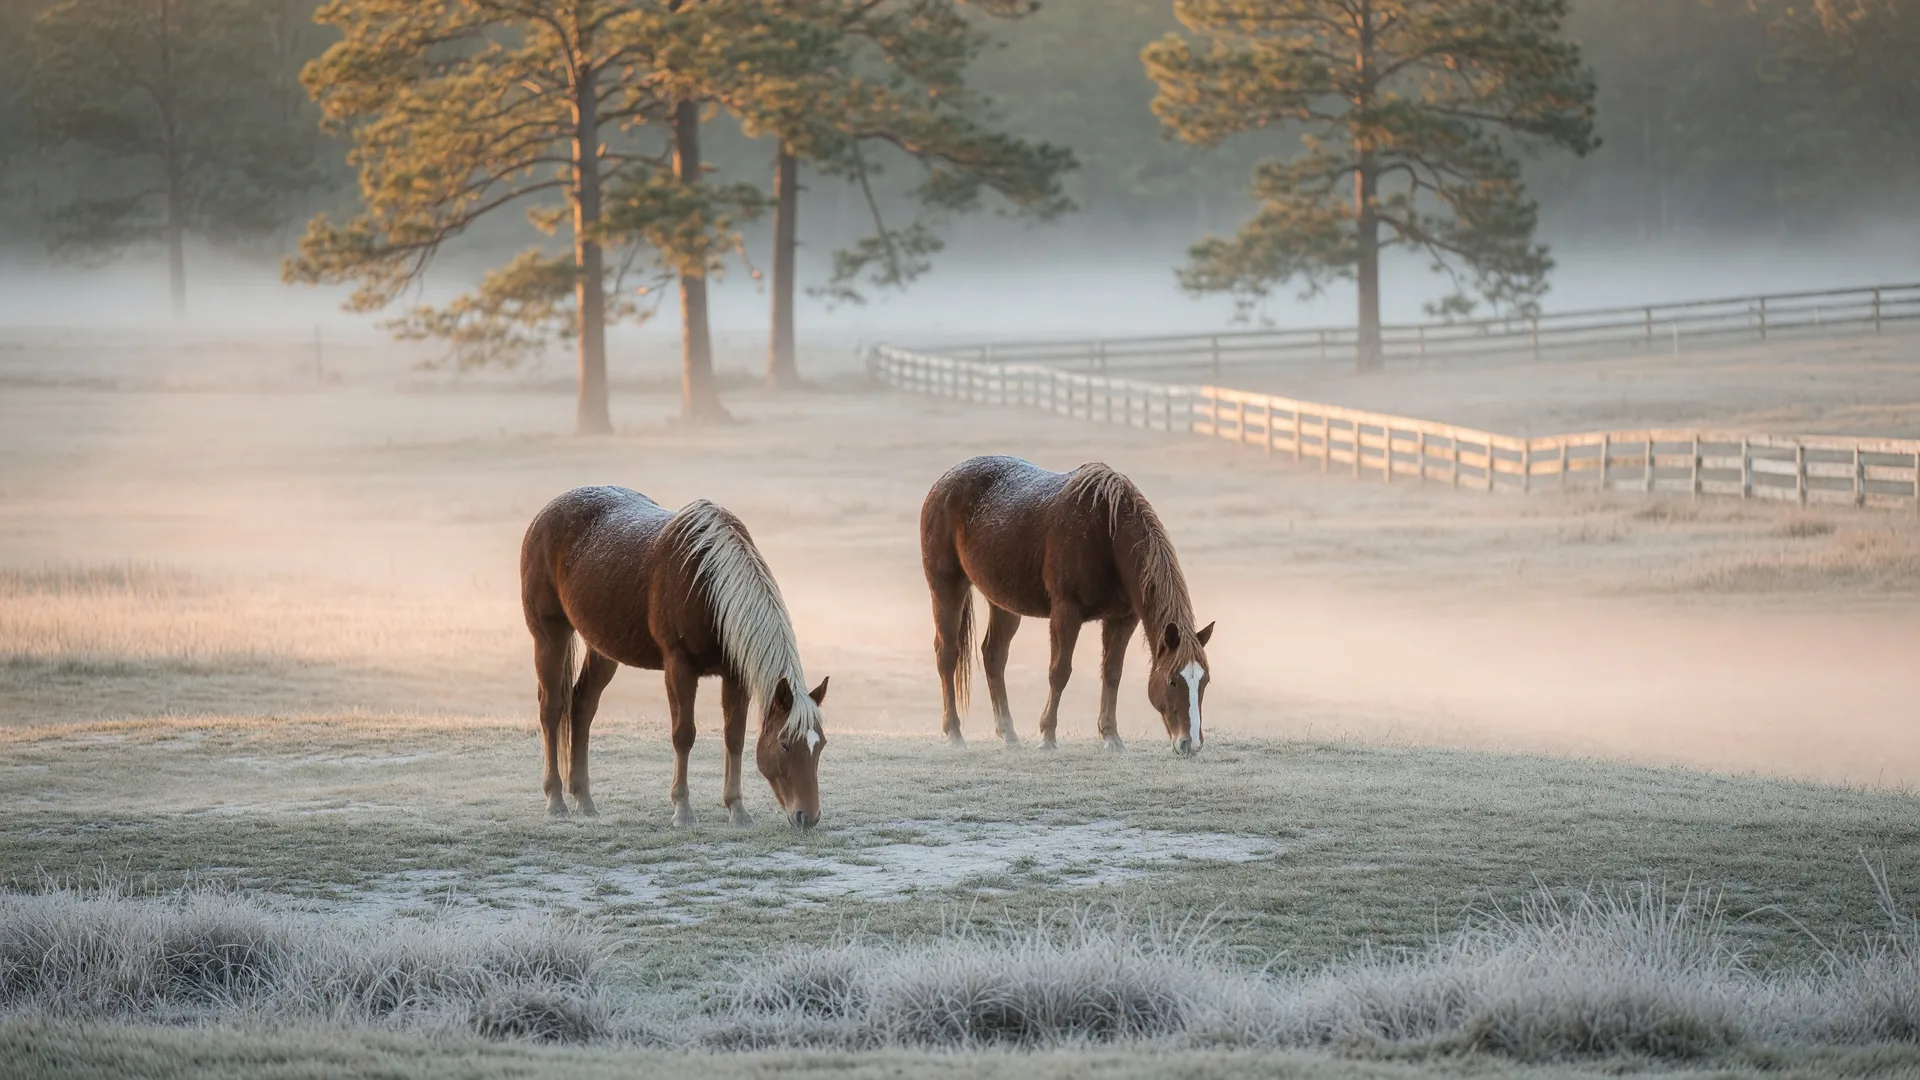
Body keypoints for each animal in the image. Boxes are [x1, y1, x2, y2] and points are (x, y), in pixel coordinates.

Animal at [519, 486, 829, 828]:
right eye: (785, 744)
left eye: (820, 745)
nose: (808, 817)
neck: (710, 585)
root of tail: (545, 513)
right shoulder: (679, 668)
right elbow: (684, 735)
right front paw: (682, 810)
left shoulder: (735, 676)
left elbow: (734, 737)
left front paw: (737, 809)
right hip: (549, 636)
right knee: (551, 709)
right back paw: (555, 799)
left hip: (602, 649)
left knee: (582, 707)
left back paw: (584, 800)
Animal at [920, 456, 1214, 754]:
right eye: (1172, 680)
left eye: (1204, 681)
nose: (1190, 743)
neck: (1109, 533)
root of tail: (943, 482)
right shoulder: (1066, 614)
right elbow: (1059, 672)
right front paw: (1047, 736)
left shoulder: (1122, 619)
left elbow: (1112, 673)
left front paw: (1112, 737)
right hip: (946, 588)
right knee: (947, 655)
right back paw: (954, 734)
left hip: (1003, 603)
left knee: (994, 656)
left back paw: (1009, 735)